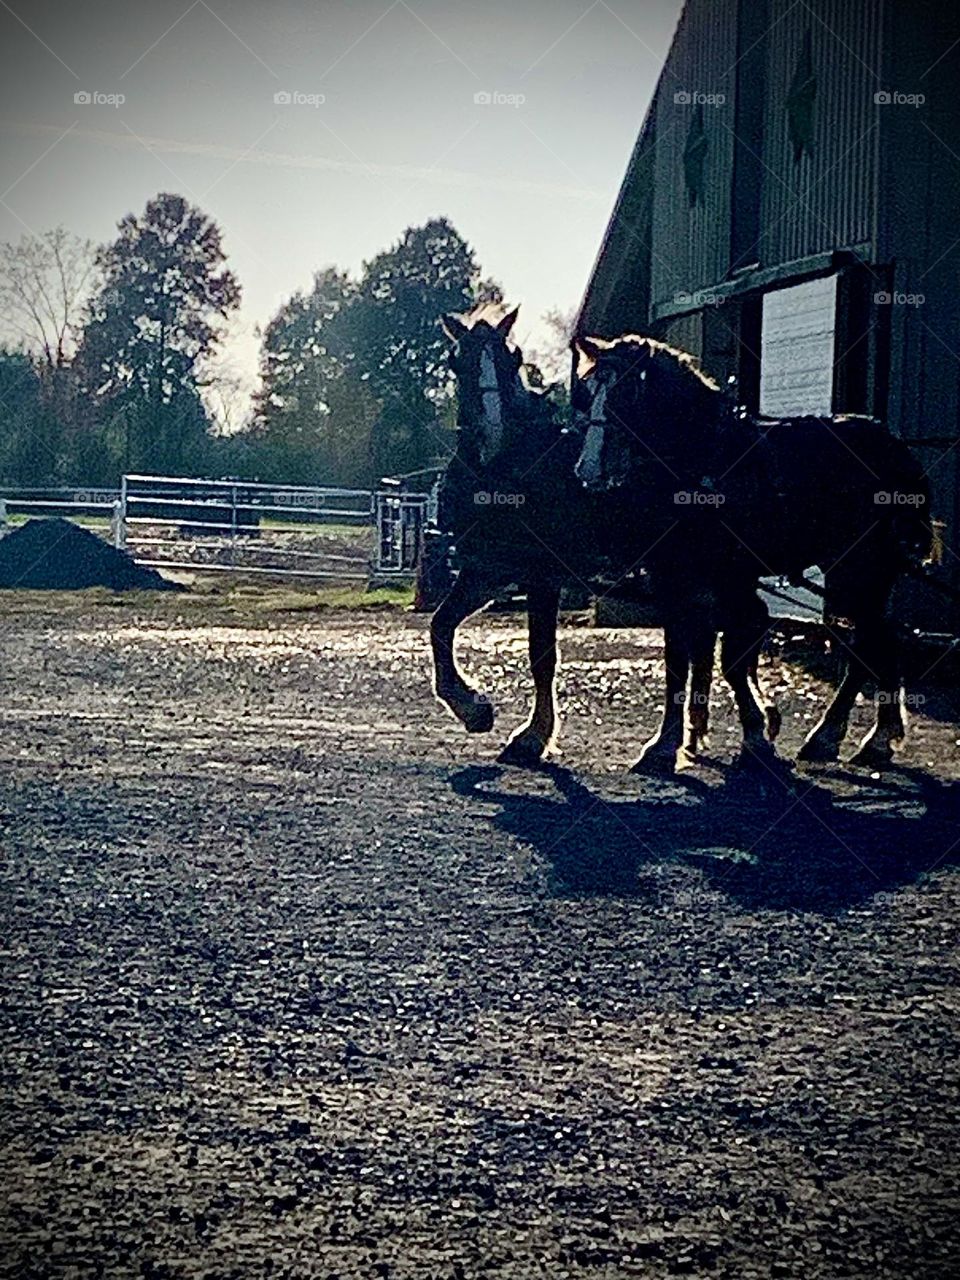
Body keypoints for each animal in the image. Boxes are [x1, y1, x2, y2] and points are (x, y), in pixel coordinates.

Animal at [573, 333, 931, 769]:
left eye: (626, 396)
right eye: (588, 392)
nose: (587, 469)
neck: (705, 463)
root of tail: (895, 448)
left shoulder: (732, 577)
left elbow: (733, 656)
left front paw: (757, 733)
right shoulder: (673, 577)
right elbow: (679, 658)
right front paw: (667, 742)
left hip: (861, 567)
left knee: (868, 641)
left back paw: (839, 736)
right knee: (880, 637)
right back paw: (872, 736)